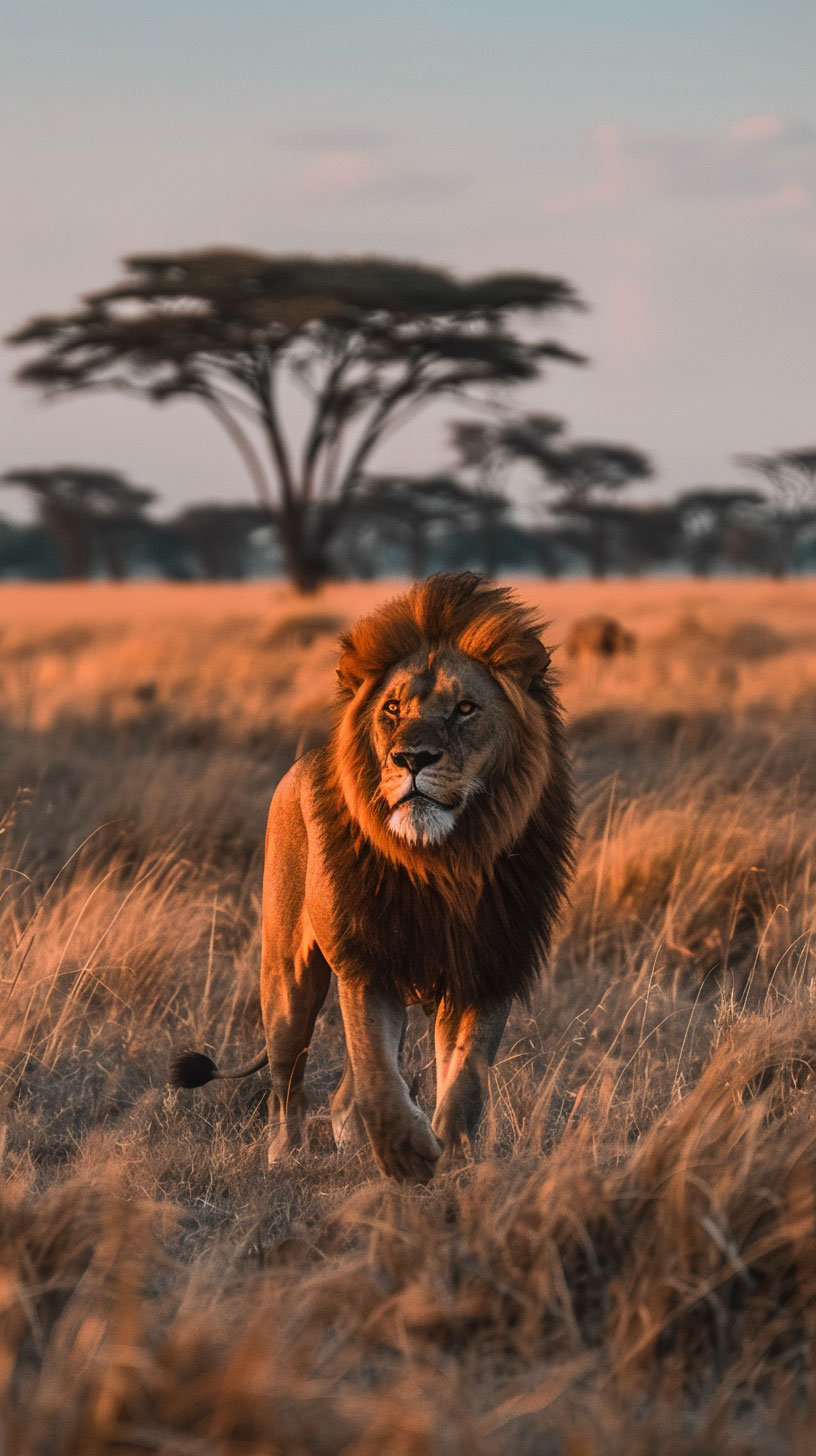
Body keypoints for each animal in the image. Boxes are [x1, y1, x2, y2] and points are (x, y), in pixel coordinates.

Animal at [171, 570, 574, 1182]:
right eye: (392, 708)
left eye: (465, 708)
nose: (413, 759)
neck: (443, 862)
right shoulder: (365, 964)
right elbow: (376, 1076)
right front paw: (406, 1155)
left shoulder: (485, 969)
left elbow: (464, 1084)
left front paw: (453, 1160)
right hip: (286, 982)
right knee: (288, 1083)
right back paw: (286, 1156)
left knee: (341, 1089)